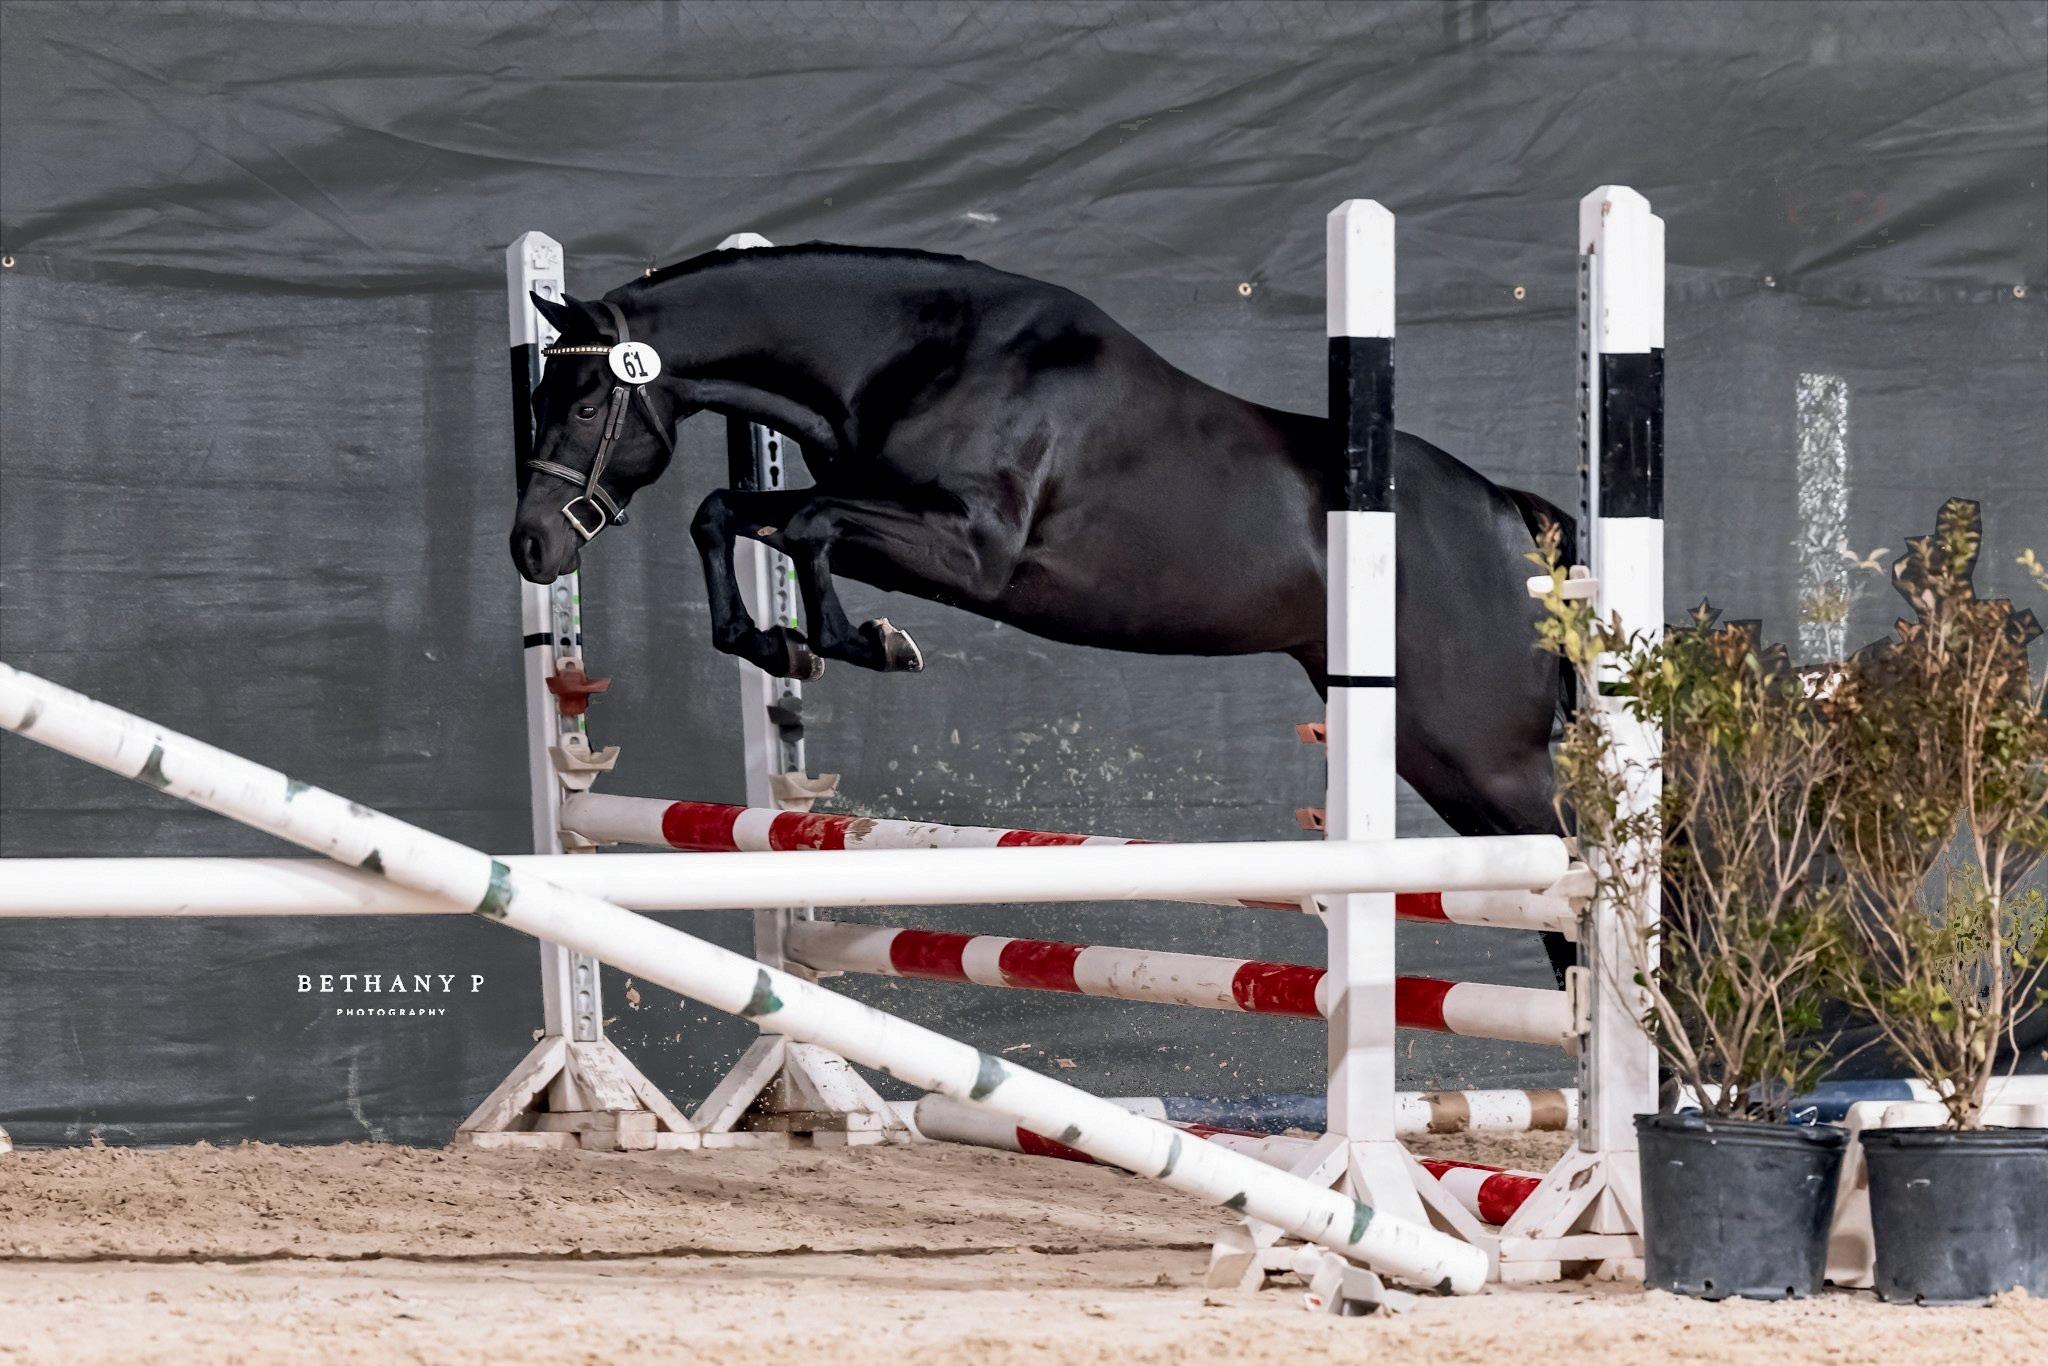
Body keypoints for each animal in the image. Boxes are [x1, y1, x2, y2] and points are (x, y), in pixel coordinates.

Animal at [511, 243, 1578, 979]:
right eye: (541, 398)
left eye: (584, 405)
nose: (532, 549)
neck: (911, 355)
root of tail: (1509, 518)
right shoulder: (881, 515)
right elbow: (728, 511)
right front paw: (777, 645)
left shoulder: (969, 551)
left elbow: (807, 524)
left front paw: (868, 643)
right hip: (1433, 748)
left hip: (1483, 750)